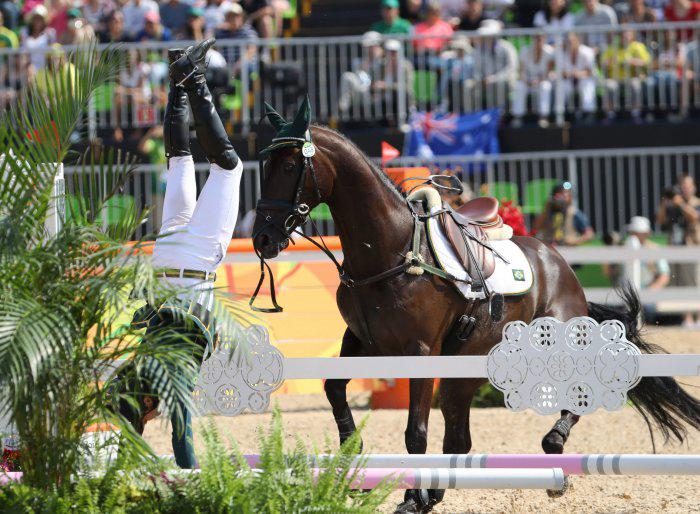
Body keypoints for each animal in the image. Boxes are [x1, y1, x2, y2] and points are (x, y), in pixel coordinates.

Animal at [252, 98, 700, 510]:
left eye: (289, 167)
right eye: (264, 166)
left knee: (575, 392)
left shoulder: (420, 352)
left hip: (550, 347)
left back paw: (553, 447)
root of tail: (560, 265)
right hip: (464, 372)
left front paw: (409, 496)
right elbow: (333, 388)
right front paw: (354, 459)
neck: (390, 252)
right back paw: (437, 491)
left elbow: (415, 433)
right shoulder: (362, 343)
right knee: (459, 437)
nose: (262, 238)